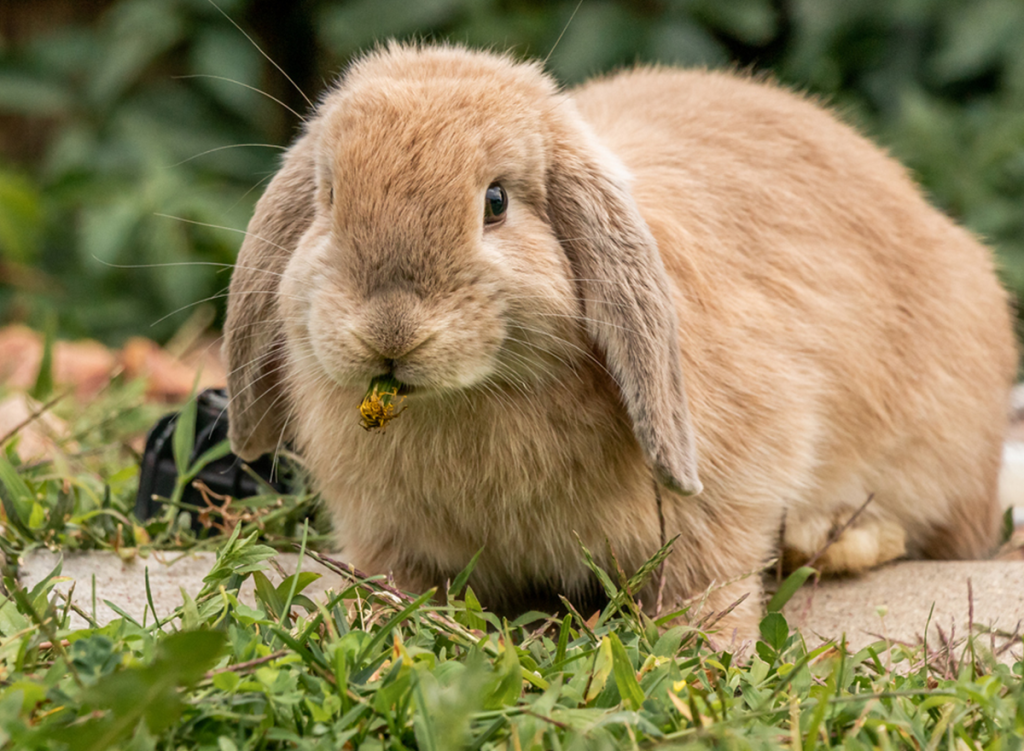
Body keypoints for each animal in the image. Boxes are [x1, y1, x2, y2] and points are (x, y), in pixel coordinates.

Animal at [224, 42, 1015, 639]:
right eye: (328, 197)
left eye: (496, 202)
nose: (390, 330)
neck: (475, 398)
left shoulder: (738, 486)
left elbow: (712, 572)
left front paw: (705, 650)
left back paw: (827, 539)